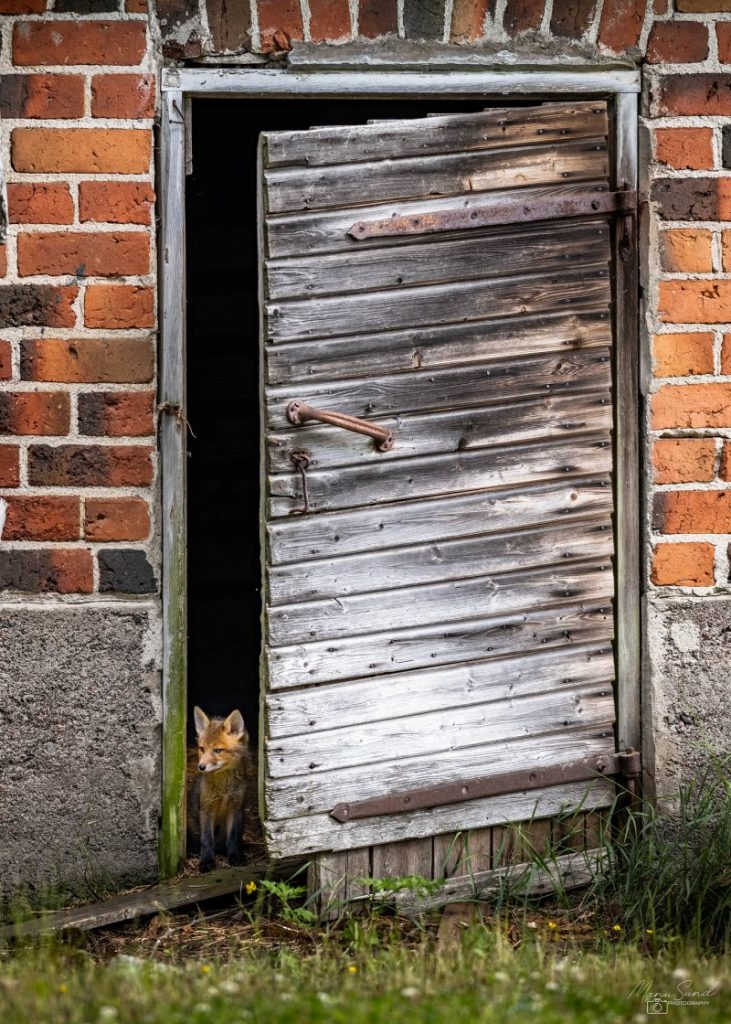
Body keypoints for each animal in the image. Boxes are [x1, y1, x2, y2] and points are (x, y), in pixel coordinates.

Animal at [186, 712, 251, 872]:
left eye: (217, 750)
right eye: (202, 749)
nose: (201, 767)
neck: (224, 788)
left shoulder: (236, 808)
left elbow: (232, 838)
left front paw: (235, 857)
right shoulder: (207, 808)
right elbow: (207, 840)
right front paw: (206, 862)